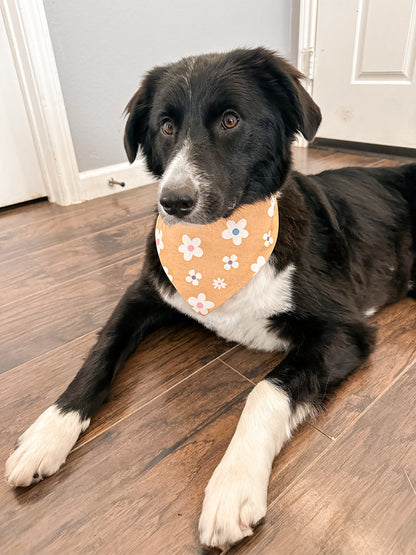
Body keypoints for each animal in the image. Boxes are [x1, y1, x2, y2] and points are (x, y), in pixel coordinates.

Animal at [4, 47, 416, 552]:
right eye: (165, 126)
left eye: (231, 120)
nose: (174, 202)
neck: (219, 247)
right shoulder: (143, 293)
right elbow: (99, 354)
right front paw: (48, 431)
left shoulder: (344, 329)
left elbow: (265, 390)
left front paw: (232, 484)